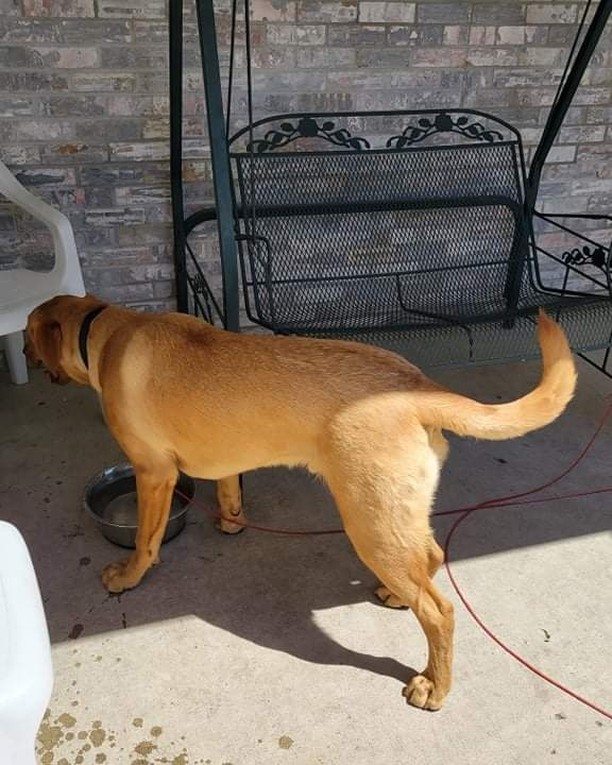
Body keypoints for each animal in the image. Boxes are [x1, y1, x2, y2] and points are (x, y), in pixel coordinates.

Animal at [26, 294, 576, 712]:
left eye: (29, 336)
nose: (24, 356)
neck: (104, 331)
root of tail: (419, 387)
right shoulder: (225, 461)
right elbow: (229, 490)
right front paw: (231, 522)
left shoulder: (153, 473)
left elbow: (145, 539)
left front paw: (128, 576)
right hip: (395, 515)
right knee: (431, 558)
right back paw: (399, 595)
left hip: (368, 522)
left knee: (439, 612)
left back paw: (434, 686)